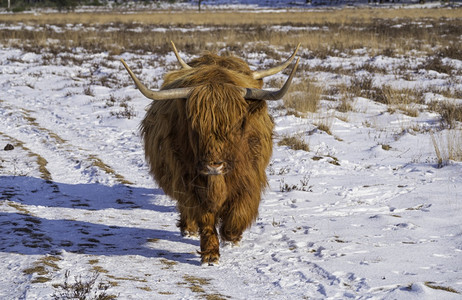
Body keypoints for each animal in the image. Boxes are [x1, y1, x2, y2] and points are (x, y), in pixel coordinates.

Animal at [120, 42, 300, 264]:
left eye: (237, 124)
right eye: (195, 126)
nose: (214, 165)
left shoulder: (249, 178)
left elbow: (239, 211)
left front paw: (231, 238)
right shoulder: (190, 181)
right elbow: (204, 216)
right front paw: (210, 253)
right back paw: (188, 229)